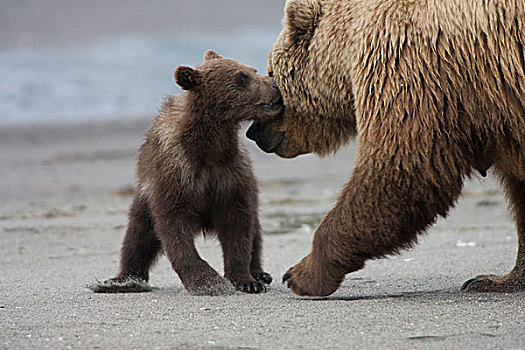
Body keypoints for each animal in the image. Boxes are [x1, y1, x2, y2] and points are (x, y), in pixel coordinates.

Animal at [248, 0, 524, 296]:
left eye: (272, 77)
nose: (254, 132)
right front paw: (498, 279)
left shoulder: (407, 64)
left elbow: (399, 172)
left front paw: (301, 274)